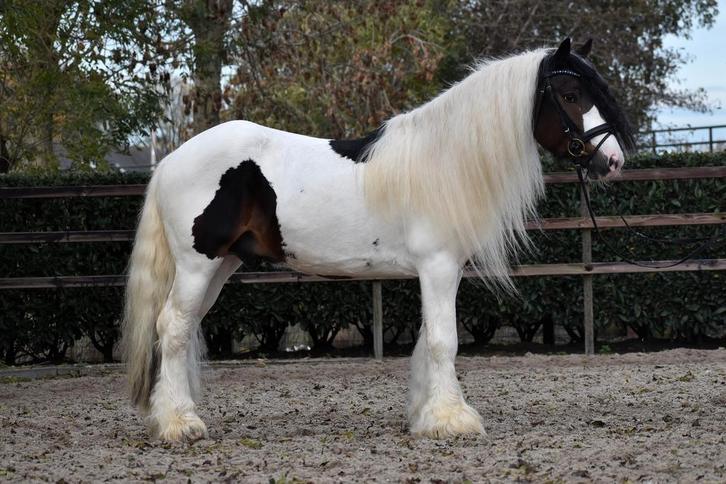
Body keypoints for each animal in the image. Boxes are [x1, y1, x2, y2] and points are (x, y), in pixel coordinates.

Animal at [122, 38, 635, 442]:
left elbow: (427, 339)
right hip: (198, 264)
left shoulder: (442, 271)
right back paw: (179, 425)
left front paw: (426, 416)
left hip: (221, 266)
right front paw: (454, 420)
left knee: (183, 328)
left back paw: (176, 414)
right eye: (571, 94)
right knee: (172, 328)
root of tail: (170, 161)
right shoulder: (438, 266)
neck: (445, 160)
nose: (613, 162)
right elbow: (444, 341)